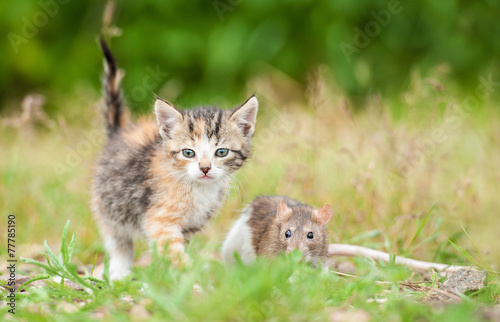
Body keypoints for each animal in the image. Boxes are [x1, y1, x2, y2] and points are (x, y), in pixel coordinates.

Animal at [89, 38, 258, 280]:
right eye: (188, 153)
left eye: (221, 152)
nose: (205, 168)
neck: (199, 190)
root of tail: (120, 131)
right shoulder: (159, 220)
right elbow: (172, 251)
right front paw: (188, 279)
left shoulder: (191, 225)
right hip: (110, 205)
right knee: (118, 241)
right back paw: (120, 271)